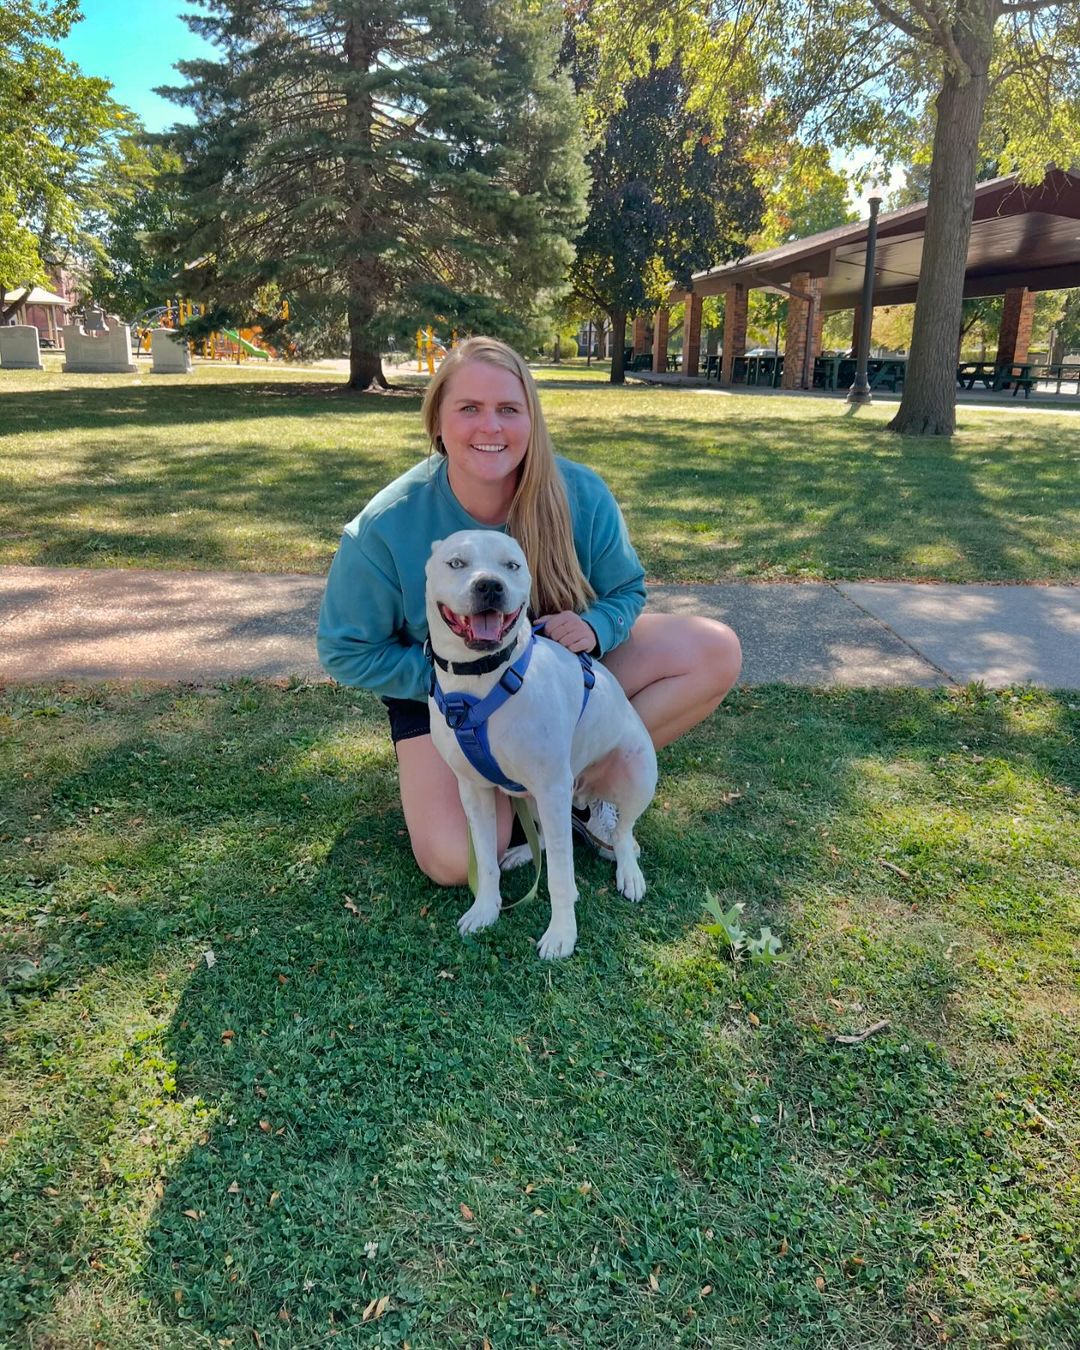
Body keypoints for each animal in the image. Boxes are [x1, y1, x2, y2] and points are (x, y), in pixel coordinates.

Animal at [423, 526, 658, 961]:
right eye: (457, 563)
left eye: (512, 565)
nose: (489, 585)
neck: (481, 679)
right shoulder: (475, 791)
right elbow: (485, 859)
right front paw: (485, 909)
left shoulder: (551, 787)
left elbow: (562, 879)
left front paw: (562, 932)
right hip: (539, 797)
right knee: (547, 838)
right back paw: (523, 853)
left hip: (633, 774)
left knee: (622, 832)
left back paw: (629, 873)